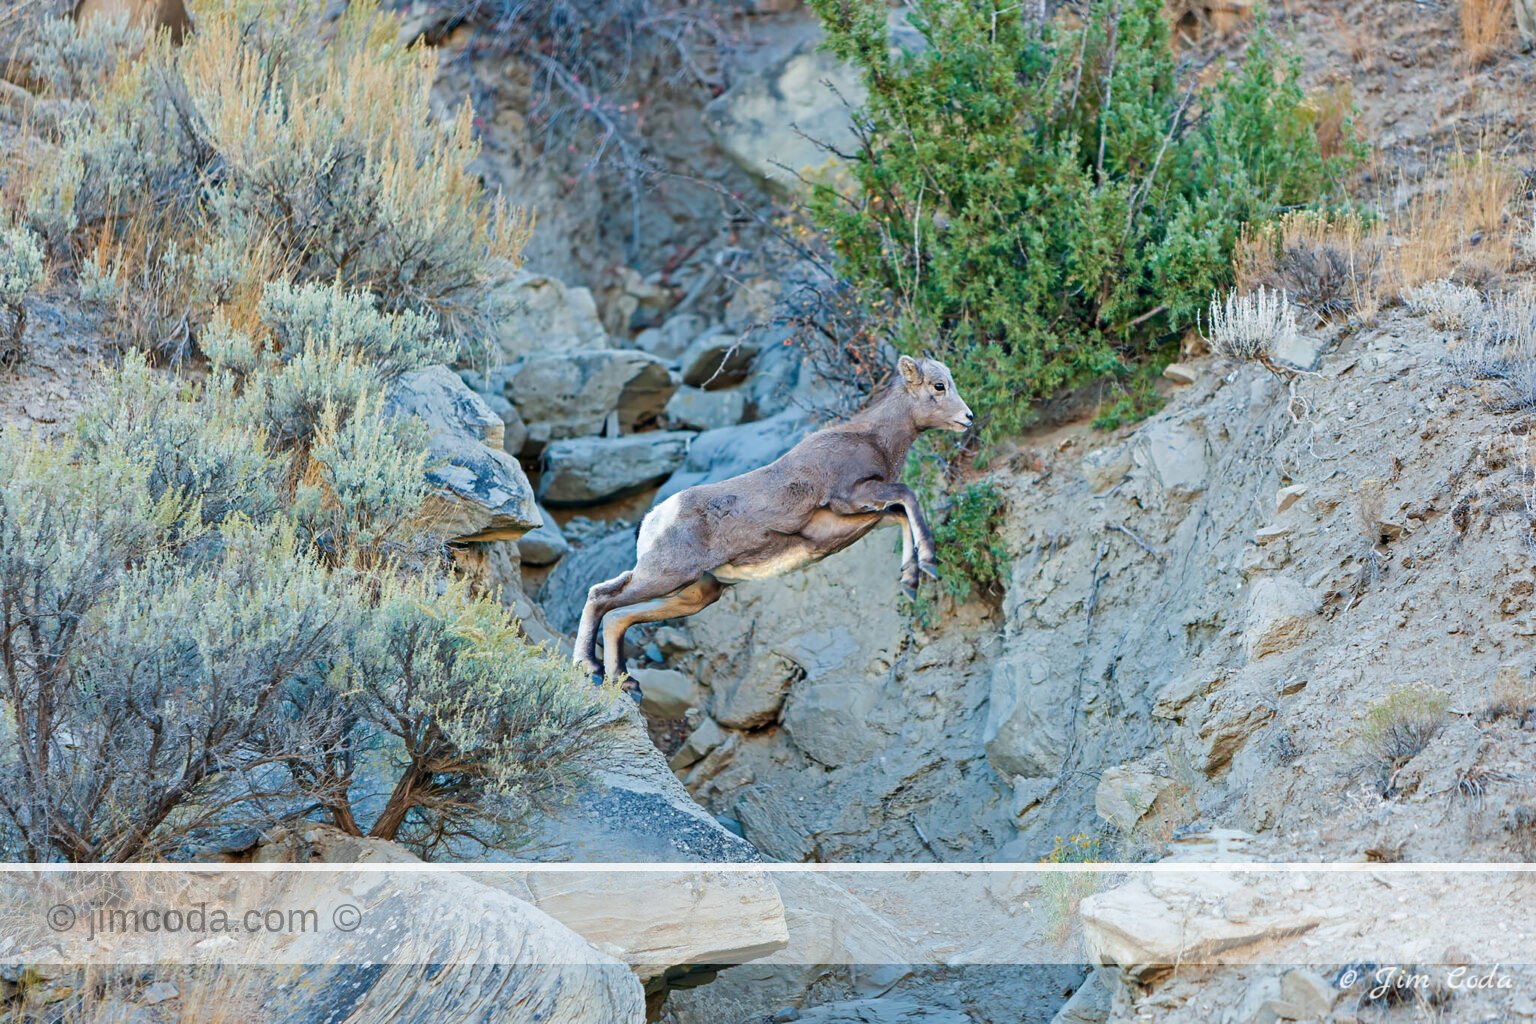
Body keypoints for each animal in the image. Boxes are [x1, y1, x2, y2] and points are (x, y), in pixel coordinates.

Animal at [574, 355, 974, 699]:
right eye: (939, 386)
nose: (969, 418)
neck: (873, 439)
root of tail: (654, 518)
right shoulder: (852, 497)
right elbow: (908, 496)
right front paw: (929, 565)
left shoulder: (864, 516)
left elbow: (901, 513)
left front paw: (910, 580)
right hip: (666, 576)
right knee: (601, 597)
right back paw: (589, 667)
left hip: (695, 594)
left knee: (618, 617)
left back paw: (626, 684)